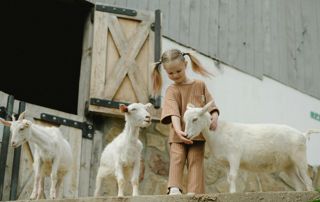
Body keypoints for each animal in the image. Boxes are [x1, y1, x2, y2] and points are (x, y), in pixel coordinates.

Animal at [184, 101, 318, 193]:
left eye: (195, 119)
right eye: (185, 119)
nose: (186, 135)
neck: (219, 132)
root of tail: (303, 134)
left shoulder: (234, 156)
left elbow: (233, 176)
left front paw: (233, 193)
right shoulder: (226, 162)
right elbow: (228, 178)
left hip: (300, 157)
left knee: (307, 179)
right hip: (288, 164)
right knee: (299, 184)